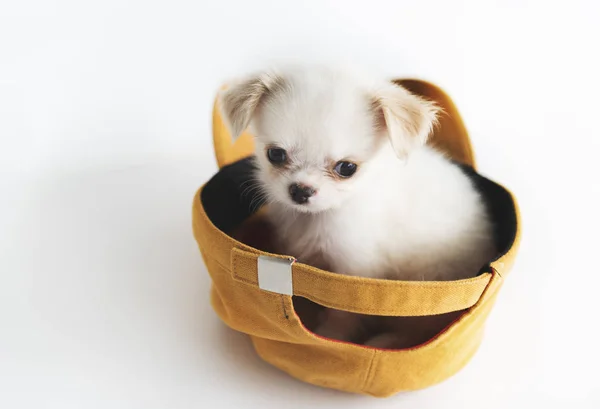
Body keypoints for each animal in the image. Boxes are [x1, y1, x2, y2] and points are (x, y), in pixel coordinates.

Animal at [218, 67, 494, 348]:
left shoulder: (354, 269)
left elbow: (343, 314)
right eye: (275, 154)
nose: (301, 190)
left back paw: (386, 341)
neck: (319, 217)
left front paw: (331, 336)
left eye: (346, 168)